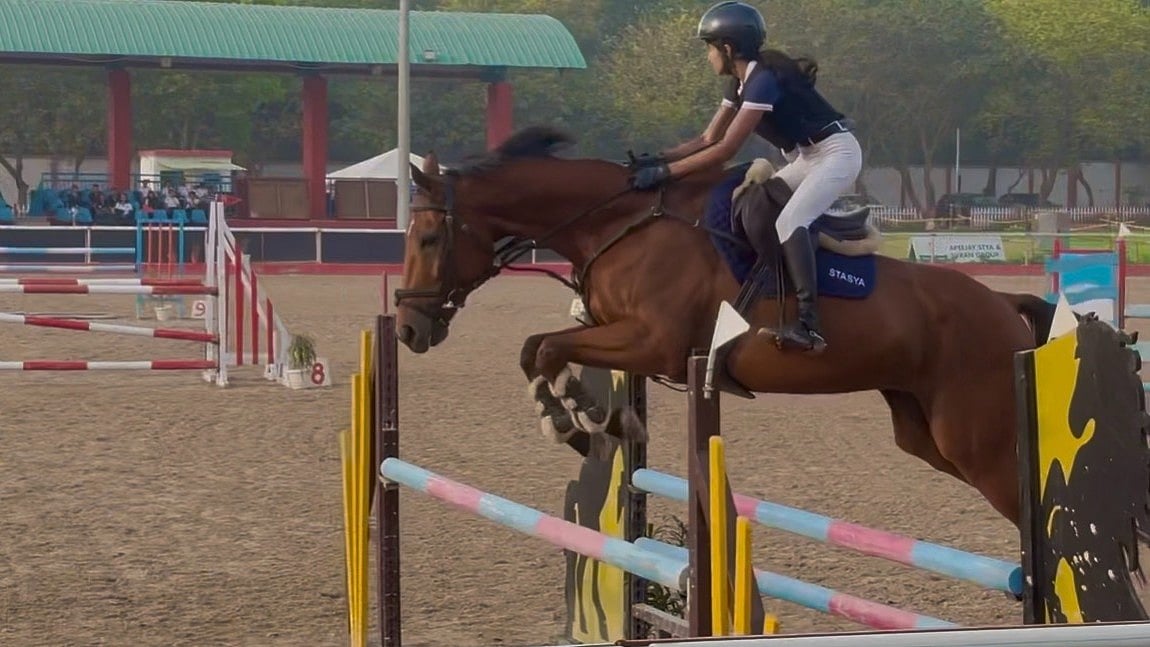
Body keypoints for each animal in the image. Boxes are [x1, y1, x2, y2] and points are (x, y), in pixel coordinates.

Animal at [393, 125, 1055, 529]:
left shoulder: (653, 342)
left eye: (426, 239)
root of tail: (1003, 304)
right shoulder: (617, 333)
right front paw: (594, 418)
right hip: (928, 435)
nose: (406, 329)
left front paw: (574, 425)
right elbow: (541, 350)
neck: (620, 222)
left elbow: (545, 349)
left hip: (980, 443)